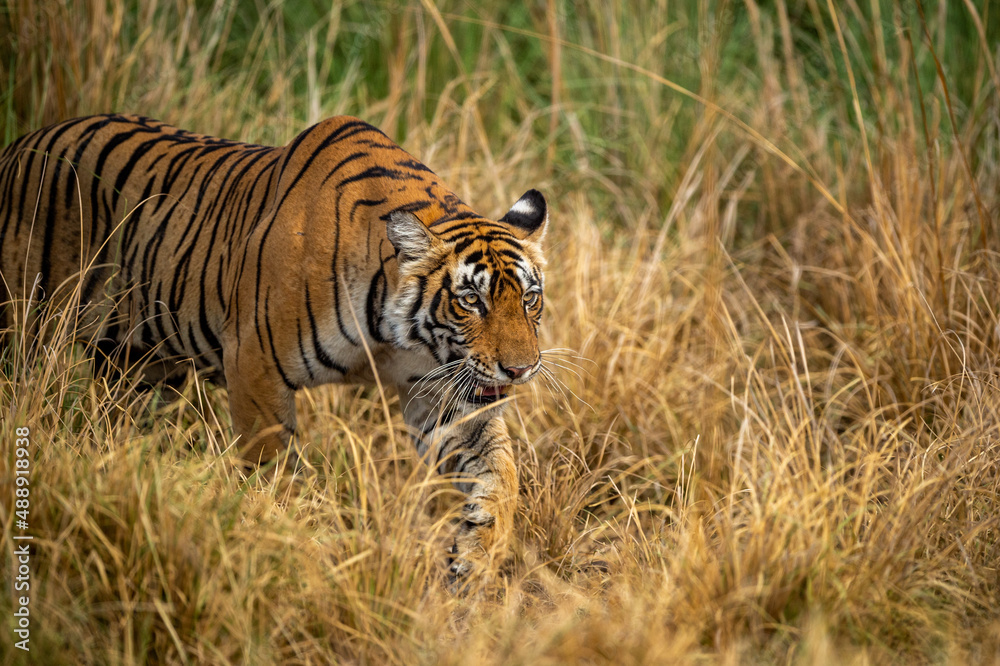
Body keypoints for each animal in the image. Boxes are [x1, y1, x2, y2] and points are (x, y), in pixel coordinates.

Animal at [0, 114, 548, 578]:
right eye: (471, 300)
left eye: (529, 298)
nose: (520, 369)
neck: (392, 335)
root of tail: (20, 143)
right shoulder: (254, 366)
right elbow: (272, 470)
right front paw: (287, 542)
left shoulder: (439, 391)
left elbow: (498, 471)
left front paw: (477, 555)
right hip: (28, 329)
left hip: (136, 365)